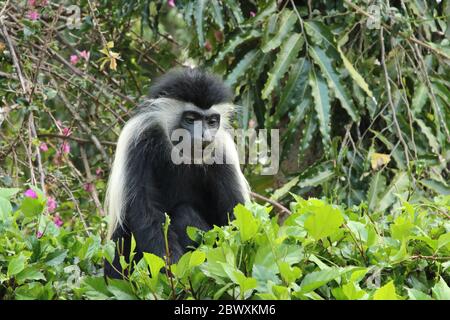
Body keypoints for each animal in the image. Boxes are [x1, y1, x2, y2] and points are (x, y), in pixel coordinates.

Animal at [103, 68, 250, 280]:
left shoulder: (222, 151)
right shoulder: (137, 141)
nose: (204, 138)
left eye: (211, 121)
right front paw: (173, 271)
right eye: (191, 119)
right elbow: (146, 210)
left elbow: (234, 212)